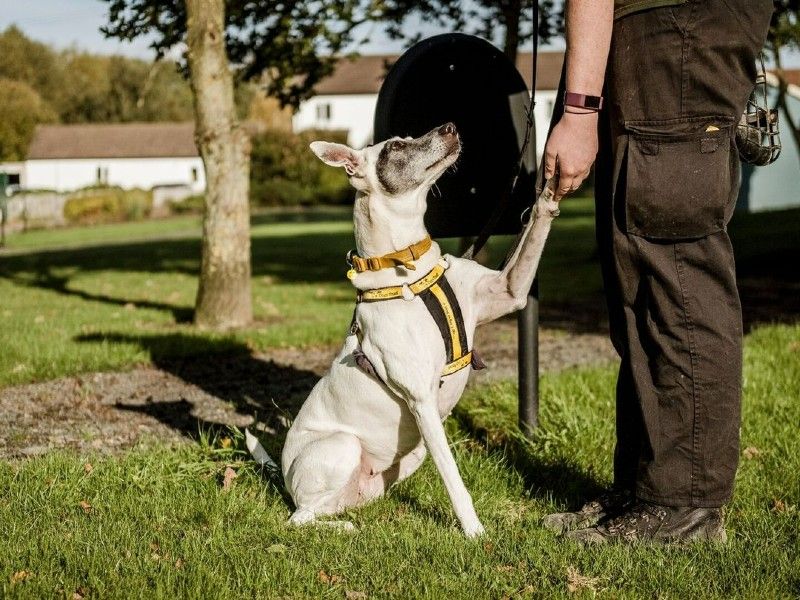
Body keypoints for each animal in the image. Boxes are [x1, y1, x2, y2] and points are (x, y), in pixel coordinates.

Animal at [247, 120, 560, 536]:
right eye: (395, 146)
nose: (450, 126)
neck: (408, 269)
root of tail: (282, 476)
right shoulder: (422, 401)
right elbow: (454, 480)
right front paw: (475, 533)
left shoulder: (509, 291)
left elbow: (532, 234)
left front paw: (552, 185)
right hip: (343, 446)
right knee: (298, 518)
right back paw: (345, 529)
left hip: (405, 460)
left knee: (327, 508)